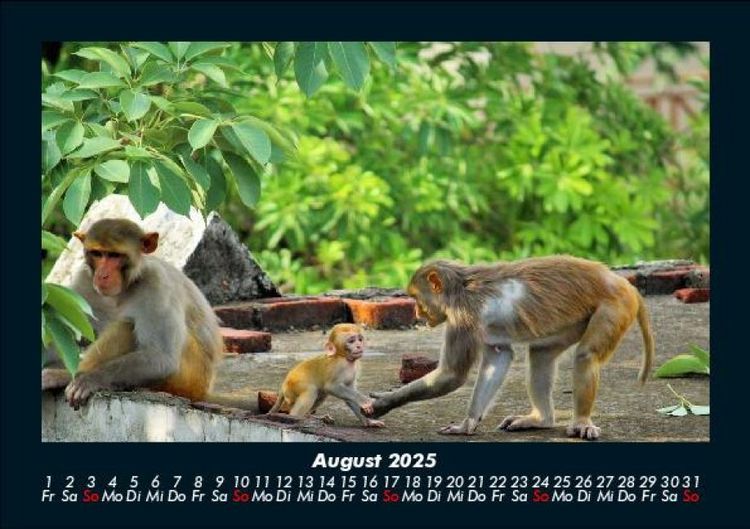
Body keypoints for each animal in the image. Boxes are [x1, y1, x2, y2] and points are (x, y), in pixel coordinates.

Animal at [41, 218, 245, 410]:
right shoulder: (84, 280)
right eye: (97, 254)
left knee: (127, 326)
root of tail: (204, 391)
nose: (103, 275)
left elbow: (161, 358)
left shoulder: (157, 284)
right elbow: (59, 327)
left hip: (189, 379)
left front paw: (90, 379)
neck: (126, 287)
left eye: (115, 255)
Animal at [369, 256, 655, 440]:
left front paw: (383, 402)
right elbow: (499, 358)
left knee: (586, 355)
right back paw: (541, 420)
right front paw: (468, 423)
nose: (417, 313)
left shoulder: (462, 317)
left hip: (614, 306)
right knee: (540, 356)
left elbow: (452, 375)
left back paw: (581, 421)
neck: (460, 287)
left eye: (417, 298)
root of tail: (621, 282)